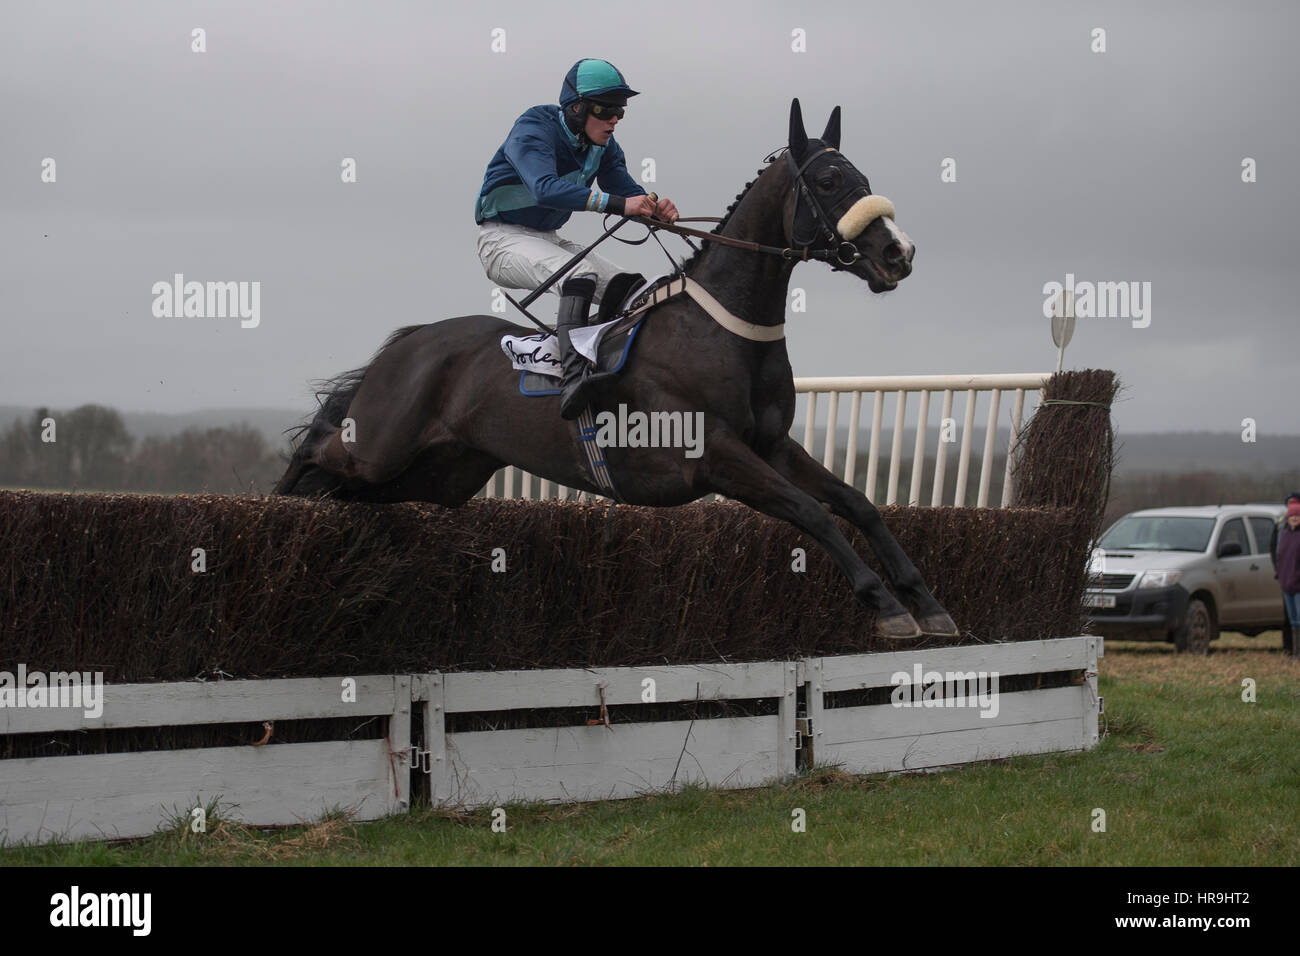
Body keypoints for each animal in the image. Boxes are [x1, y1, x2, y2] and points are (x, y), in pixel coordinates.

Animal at [274, 98, 961, 642]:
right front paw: (885, 605)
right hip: (382, 445)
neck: (726, 333)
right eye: (828, 179)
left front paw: (925, 600)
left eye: (863, 175)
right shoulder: (714, 455)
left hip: (442, 475)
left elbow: (855, 501)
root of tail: (413, 340)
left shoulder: (772, 445)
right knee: (317, 445)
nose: (898, 252)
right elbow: (810, 512)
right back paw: (278, 503)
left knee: (348, 488)